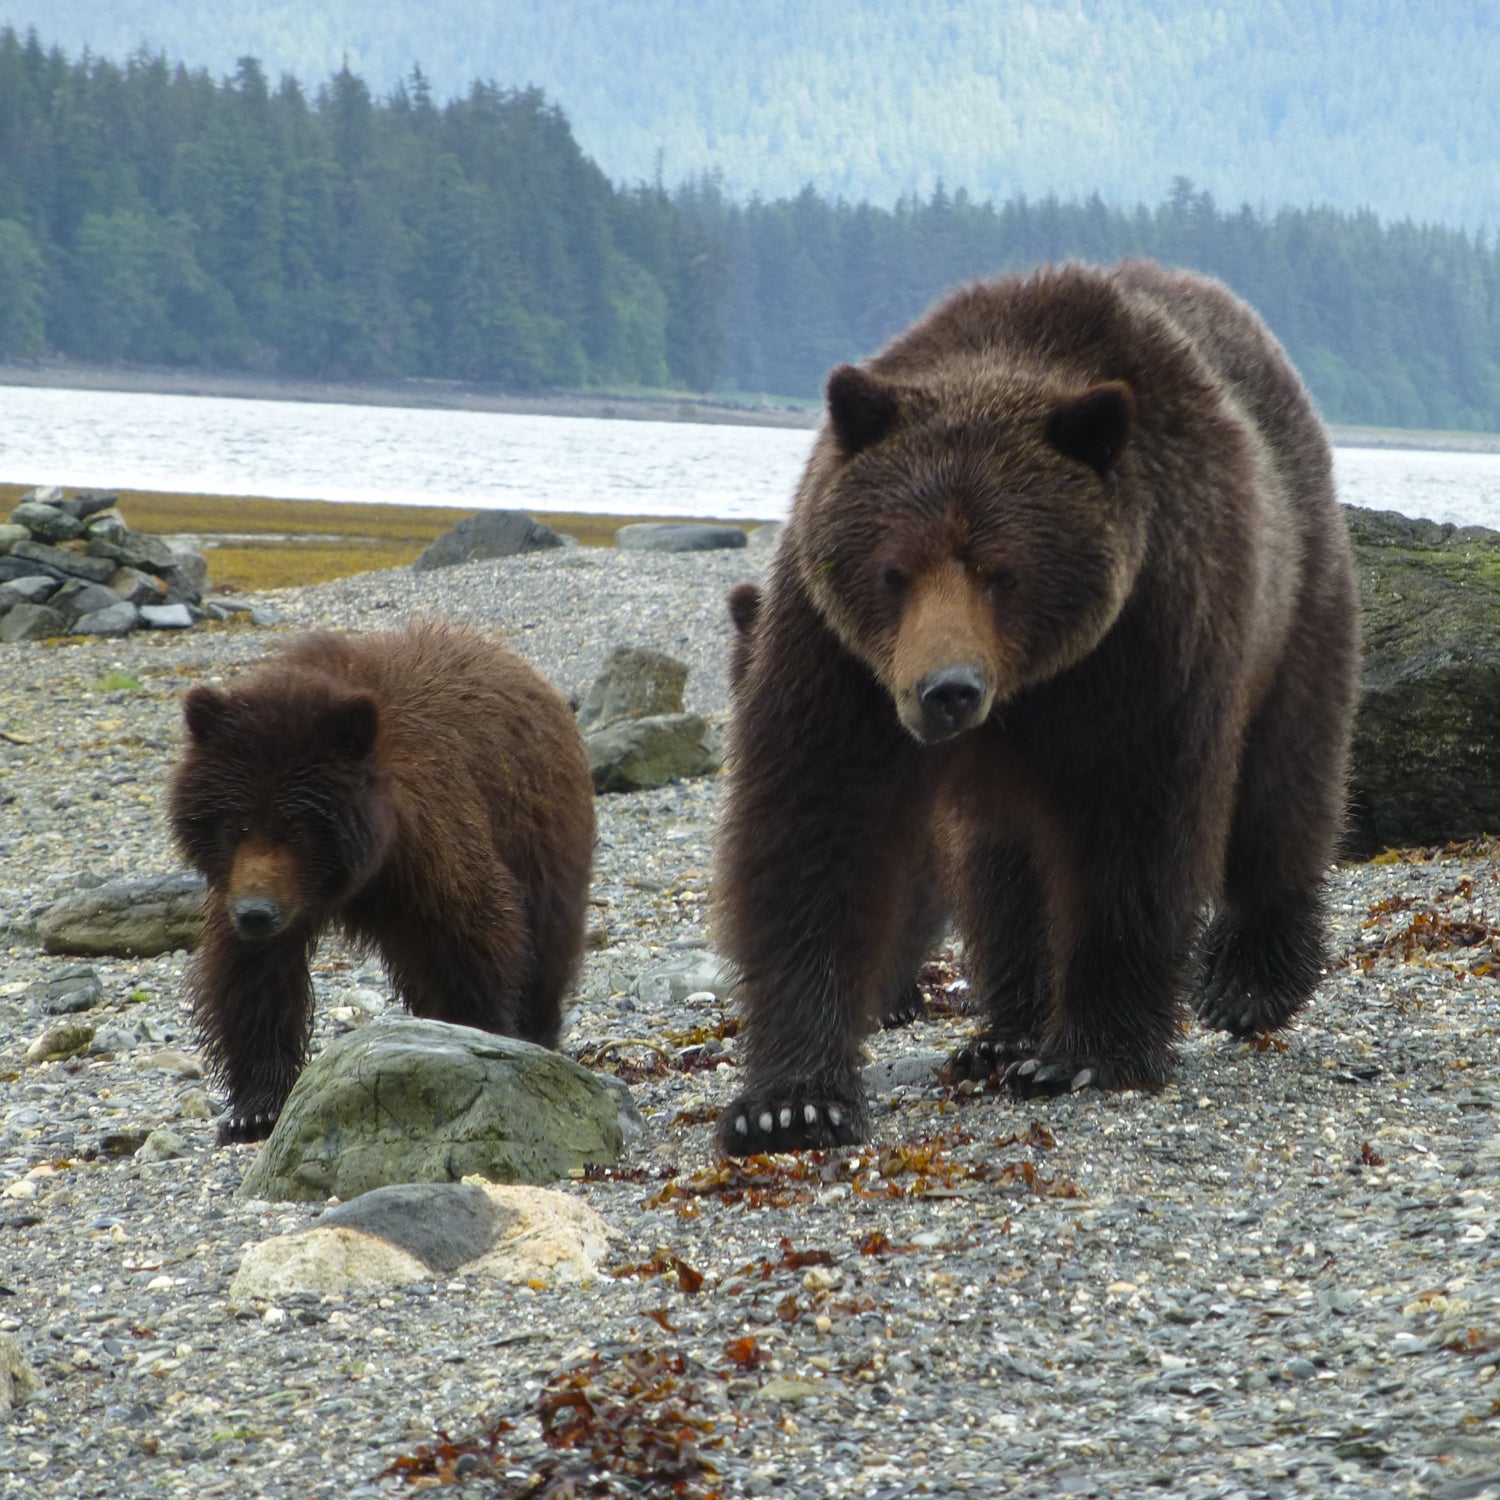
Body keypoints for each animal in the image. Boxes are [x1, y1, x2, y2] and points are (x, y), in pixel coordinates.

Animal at [171, 615, 597, 1140]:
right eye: (235, 824)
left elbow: (472, 932)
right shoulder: (245, 889)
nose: (256, 913)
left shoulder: (433, 842)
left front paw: (480, 1034)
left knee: (548, 931)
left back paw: (539, 1027)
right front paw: (257, 1109)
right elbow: (251, 976)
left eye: (297, 827)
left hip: (539, 828)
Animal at [714, 258, 1362, 1152]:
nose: (947, 690)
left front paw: (1086, 1056)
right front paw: (792, 1101)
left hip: (1294, 605)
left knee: (1282, 785)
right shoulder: (838, 660)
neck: (1029, 688)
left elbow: (1135, 836)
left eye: (1002, 571)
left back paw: (1250, 982)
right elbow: (814, 834)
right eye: (896, 569)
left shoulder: (1149, 641)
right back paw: (1005, 1029)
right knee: (1004, 868)